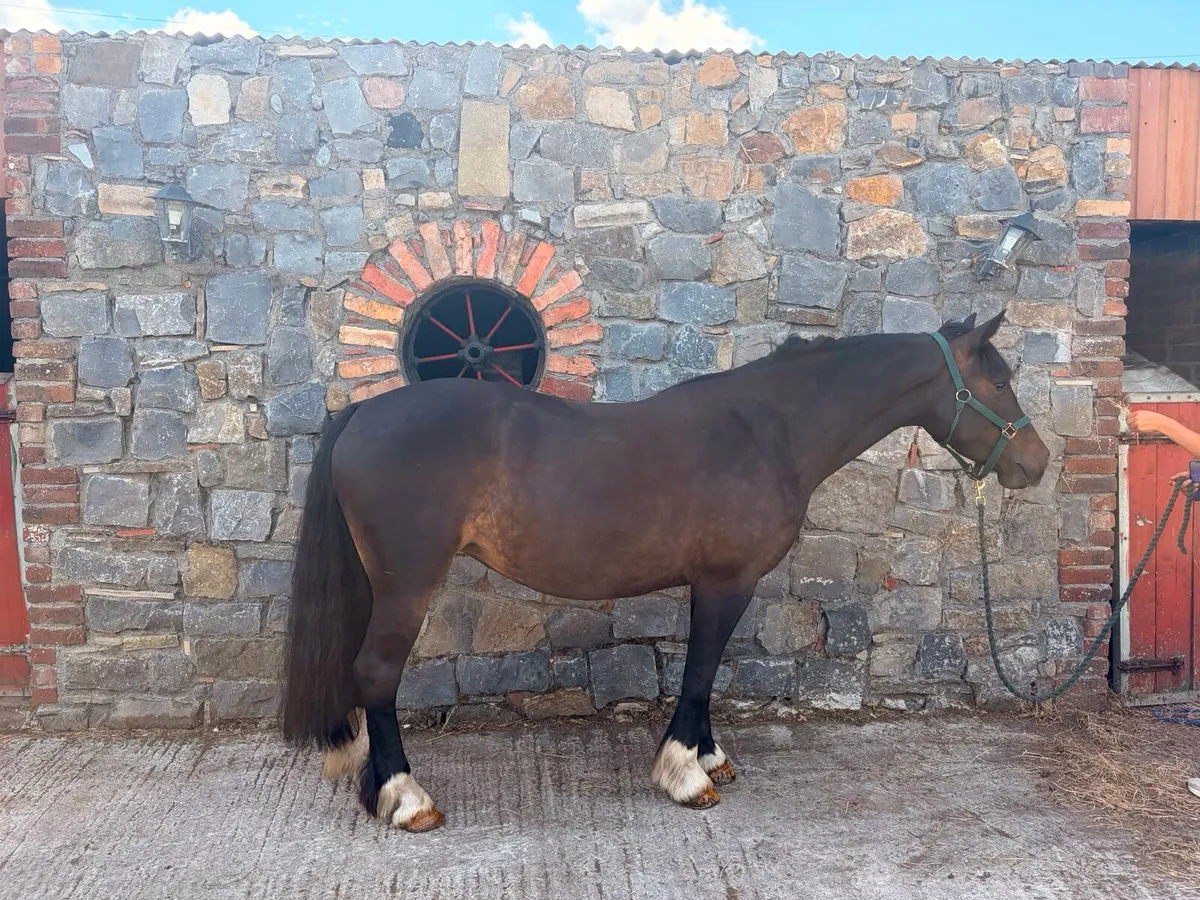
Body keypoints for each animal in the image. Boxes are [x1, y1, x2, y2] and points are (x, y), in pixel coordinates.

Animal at [282, 310, 1050, 832]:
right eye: (999, 380)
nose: (1035, 463)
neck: (766, 431)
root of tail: (361, 413)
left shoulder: (718, 585)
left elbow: (705, 671)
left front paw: (709, 758)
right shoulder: (724, 582)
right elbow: (701, 668)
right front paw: (685, 773)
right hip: (408, 587)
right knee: (377, 673)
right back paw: (405, 797)